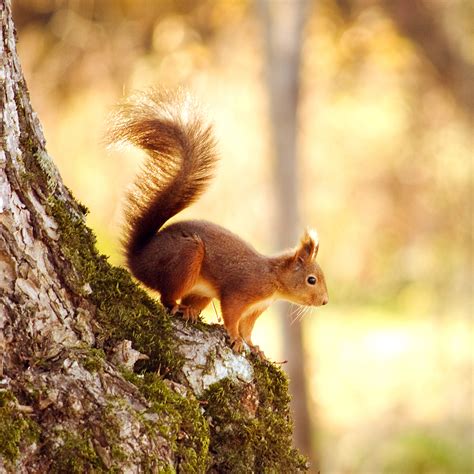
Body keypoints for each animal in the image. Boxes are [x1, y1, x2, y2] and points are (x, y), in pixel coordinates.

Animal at [109, 89, 328, 358]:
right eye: (311, 280)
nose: (325, 301)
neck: (273, 279)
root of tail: (138, 260)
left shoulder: (256, 309)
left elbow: (247, 329)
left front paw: (255, 348)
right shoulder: (241, 292)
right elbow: (232, 316)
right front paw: (235, 339)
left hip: (200, 290)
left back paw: (190, 311)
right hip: (186, 257)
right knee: (167, 297)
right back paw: (177, 307)